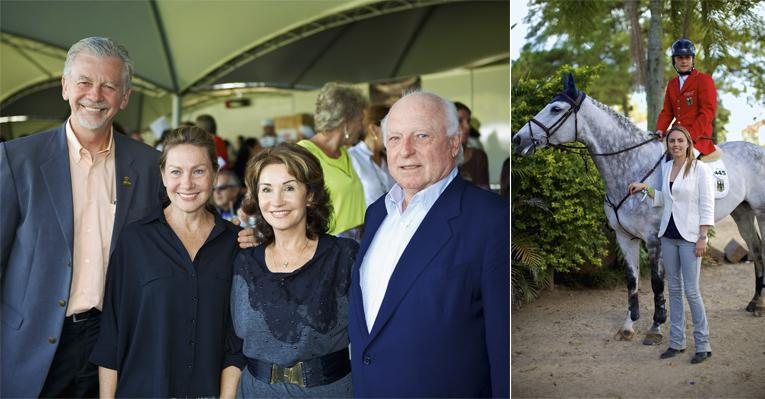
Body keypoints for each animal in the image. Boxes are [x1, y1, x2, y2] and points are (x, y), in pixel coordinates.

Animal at [510, 74, 760, 344]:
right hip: (742, 213)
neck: (632, 167)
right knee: (756, 248)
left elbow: (657, 282)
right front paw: (629, 325)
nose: (518, 139)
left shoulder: (654, 239)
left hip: (760, 211)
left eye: (555, 109)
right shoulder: (624, 237)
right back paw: (756, 302)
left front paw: (656, 326)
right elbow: (632, 280)